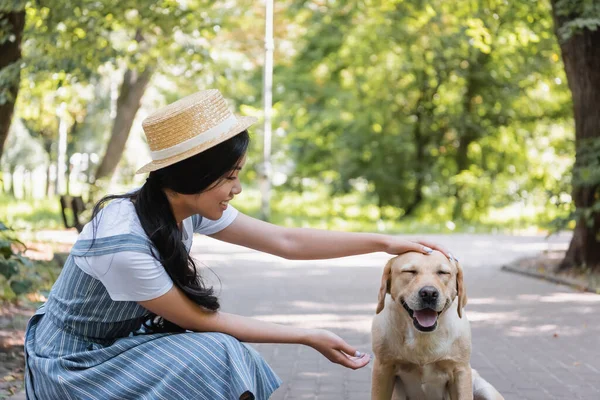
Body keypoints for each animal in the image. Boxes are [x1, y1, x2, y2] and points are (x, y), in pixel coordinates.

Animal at [370, 252, 506, 400]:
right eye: (410, 271)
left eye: (443, 272)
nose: (429, 293)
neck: (424, 337)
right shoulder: (383, 368)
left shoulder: (460, 370)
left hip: (485, 389)